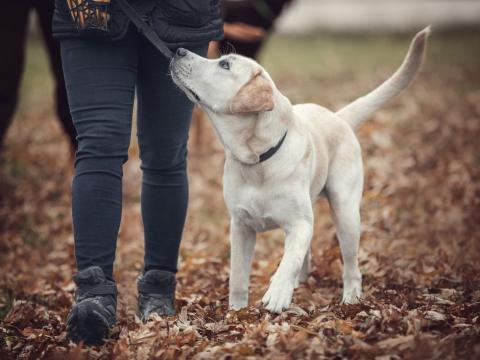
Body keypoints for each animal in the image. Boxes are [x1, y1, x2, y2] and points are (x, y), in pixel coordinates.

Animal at [170, 27, 432, 312]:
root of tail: (338, 117)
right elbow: (238, 276)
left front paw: (277, 293)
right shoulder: (240, 226)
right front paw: (237, 312)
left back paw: (351, 297)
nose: (178, 50)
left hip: (346, 211)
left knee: (351, 265)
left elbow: (289, 260)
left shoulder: (299, 223)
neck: (258, 160)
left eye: (225, 65)